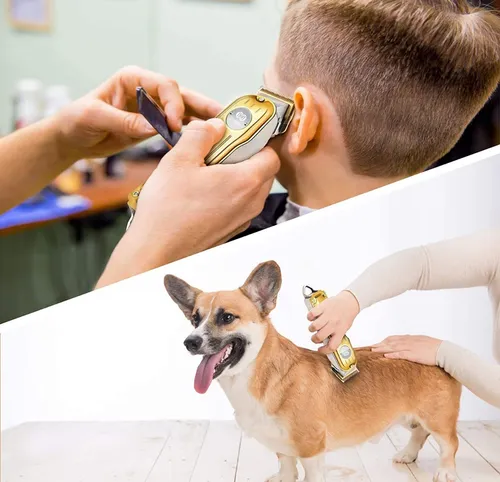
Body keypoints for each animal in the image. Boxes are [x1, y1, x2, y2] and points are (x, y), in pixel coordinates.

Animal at [164, 262, 460, 482]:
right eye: (194, 319)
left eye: (226, 317)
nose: (190, 342)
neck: (259, 375)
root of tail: (435, 349)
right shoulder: (283, 447)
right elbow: (286, 467)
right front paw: (283, 477)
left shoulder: (312, 449)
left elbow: (310, 475)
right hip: (411, 417)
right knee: (419, 433)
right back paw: (407, 455)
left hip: (437, 420)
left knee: (449, 443)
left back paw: (445, 471)